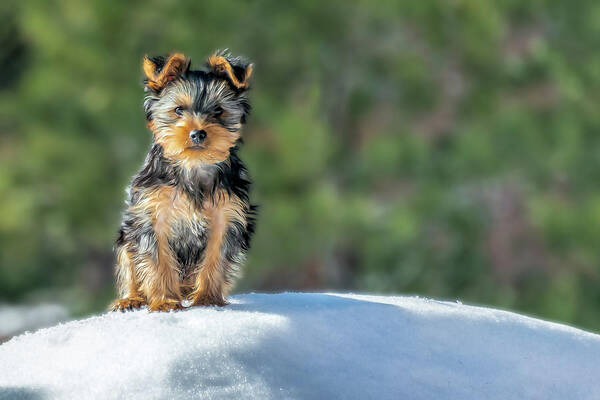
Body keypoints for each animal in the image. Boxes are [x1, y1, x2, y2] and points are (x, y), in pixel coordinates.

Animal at [112, 50, 255, 312]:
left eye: (218, 111)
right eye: (178, 110)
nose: (197, 133)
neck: (192, 165)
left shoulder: (227, 215)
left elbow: (216, 257)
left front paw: (208, 298)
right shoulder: (151, 214)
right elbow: (157, 260)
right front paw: (165, 301)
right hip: (126, 237)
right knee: (129, 262)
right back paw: (131, 297)